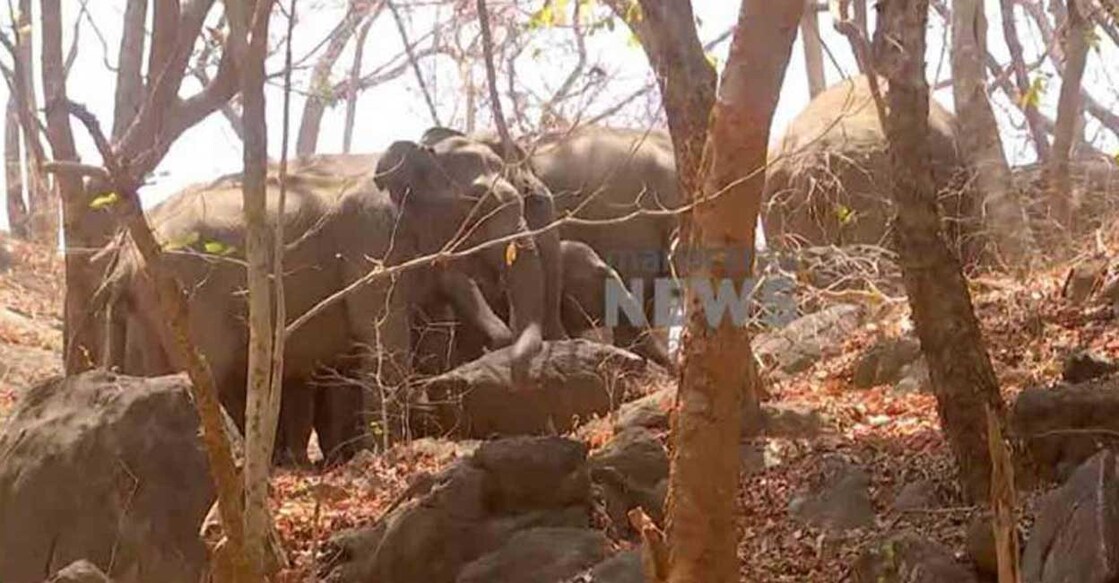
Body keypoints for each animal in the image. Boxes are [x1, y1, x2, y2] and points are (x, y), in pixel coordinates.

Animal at [98, 133, 553, 466]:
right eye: (477, 204)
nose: (517, 375)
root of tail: (125, 256)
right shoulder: (368, 242)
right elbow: (386, 341)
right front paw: (386, 452)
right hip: (189, 296)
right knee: (213, 369)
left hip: (149, 307)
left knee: (158, 375)